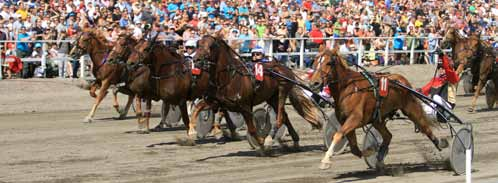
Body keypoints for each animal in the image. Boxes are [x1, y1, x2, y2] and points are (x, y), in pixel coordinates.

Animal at [193, 35, 324, 153]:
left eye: (211, 46)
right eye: (198, 44)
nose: (196, 60)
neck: (229, 78)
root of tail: (284, 67)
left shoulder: (245, 107)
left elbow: (252, 129)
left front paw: (262, 144)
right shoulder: (217, 102)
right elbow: (197, 108)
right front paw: (192, 132)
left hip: (282, 90)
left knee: (280, 117)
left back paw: (270, 139)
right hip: (272, 98)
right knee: (285, 116)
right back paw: (295, 141)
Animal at [312, 48, 448, 170]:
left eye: (328, 63)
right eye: (315, 62)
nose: (314, 83)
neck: (349, 88)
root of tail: (402, 80)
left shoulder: (355, 118)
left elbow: (338, 135)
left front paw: (325, 161)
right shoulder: (345, 121)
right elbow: (354, 148)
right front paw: (371, 151)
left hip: (410, 108)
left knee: (424, 126)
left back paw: (439, 143)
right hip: (378, 118)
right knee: (388, 136)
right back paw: (380, 159)